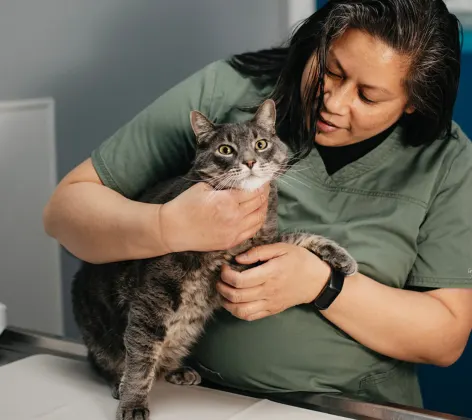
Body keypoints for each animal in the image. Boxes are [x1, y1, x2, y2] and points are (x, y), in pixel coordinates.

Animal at [70, 99, 358, 420]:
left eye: (261, 144)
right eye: (225, 150)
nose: (249, 162)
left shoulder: (253, 254)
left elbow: (297, 238)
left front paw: (340, 256)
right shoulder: (154, 293)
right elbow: (141, 356)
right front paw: (133, 403)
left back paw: (178, 371)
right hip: (100, 336)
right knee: (112, 361)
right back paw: (118, 385)